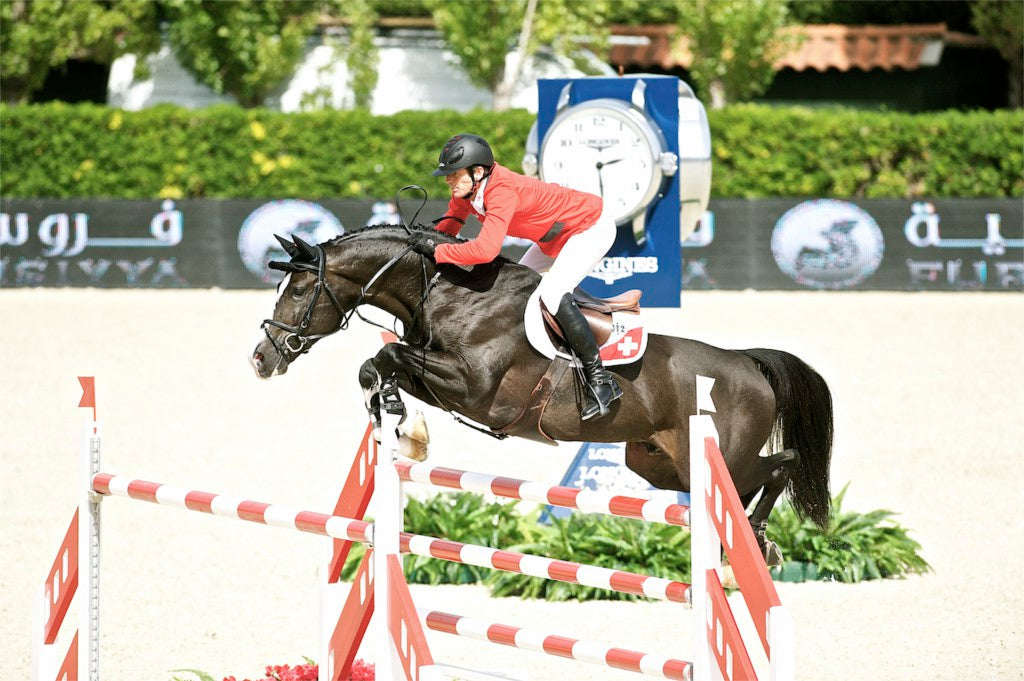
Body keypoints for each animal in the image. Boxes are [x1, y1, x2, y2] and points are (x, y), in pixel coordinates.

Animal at [251, 225, 835, 561]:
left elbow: (391, 355)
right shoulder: (444, 379)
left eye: (298, 291)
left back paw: (756, 537)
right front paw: (396, 414)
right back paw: (754, 542)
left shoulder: (476, 388)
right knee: (752, 479)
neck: (449, 291)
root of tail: (746, 362)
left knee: (780, 463)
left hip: (712, 459)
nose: (262, 358)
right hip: (657, 464)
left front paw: (399, 415)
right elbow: (378, 365)